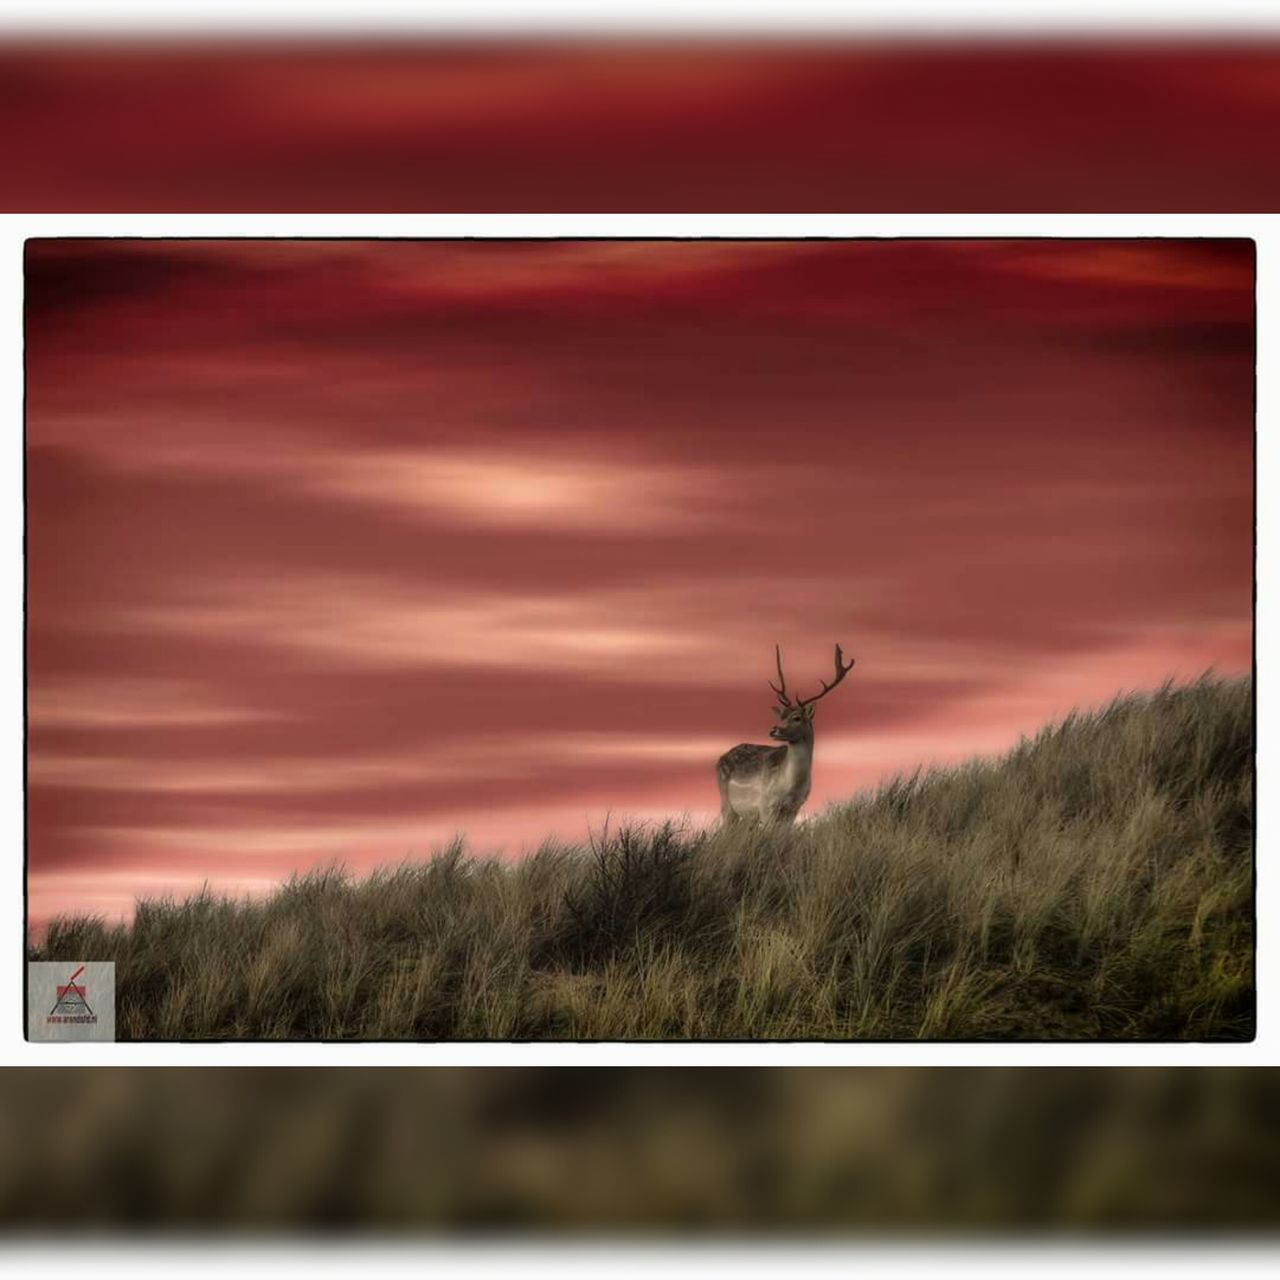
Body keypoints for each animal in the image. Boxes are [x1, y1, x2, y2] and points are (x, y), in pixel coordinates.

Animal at [716, 645, 855, 824]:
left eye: (796, 717)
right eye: (781, 716)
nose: (773, 730)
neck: (790, 788)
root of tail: (720, 759)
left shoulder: (794, 808)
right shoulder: (765, 805)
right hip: (727, 803)